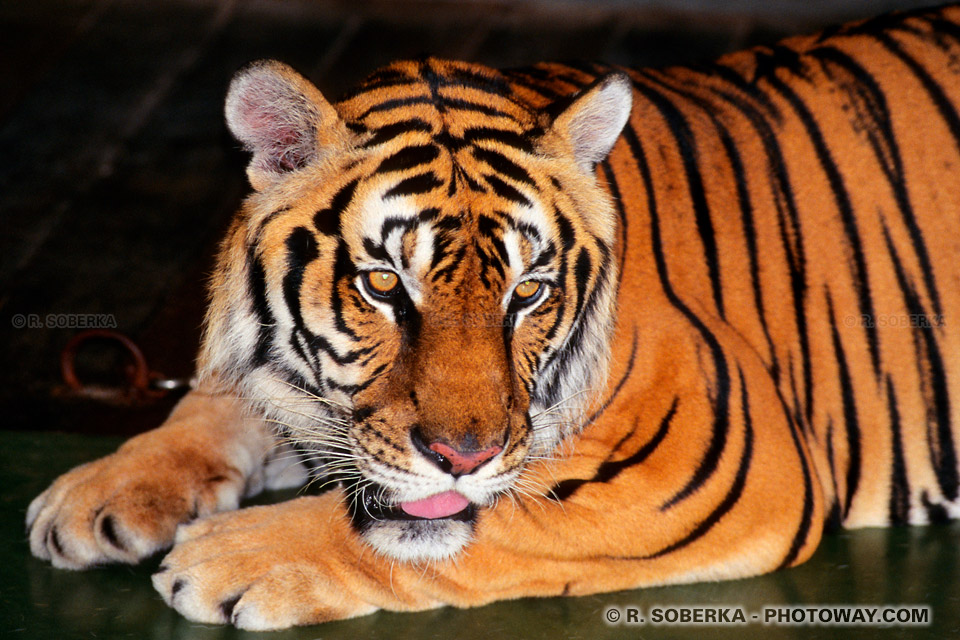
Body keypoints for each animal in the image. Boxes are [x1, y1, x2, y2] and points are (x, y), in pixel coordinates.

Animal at [22, 3, 960, 632]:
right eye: (383, 285)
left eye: (529, 293)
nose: (462, 456)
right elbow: (219, 402)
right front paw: (102, 492)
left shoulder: (727, 463)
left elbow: (484, 525)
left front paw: (233, 555)